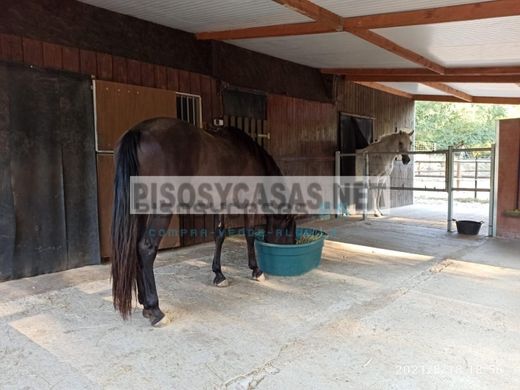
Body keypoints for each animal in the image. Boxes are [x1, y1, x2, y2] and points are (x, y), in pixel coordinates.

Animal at [111, 118, 294, 326]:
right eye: (289, 228)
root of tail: (137, 131)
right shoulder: (250, 204)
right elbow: (250, 235)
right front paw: (256, 271)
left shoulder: (220, 205)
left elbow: (219, 236)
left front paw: (219, 275)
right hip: (161, 210)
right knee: (146, 249)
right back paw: (155, 309)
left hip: (139, 210)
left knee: (135, 248)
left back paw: (144, 305)